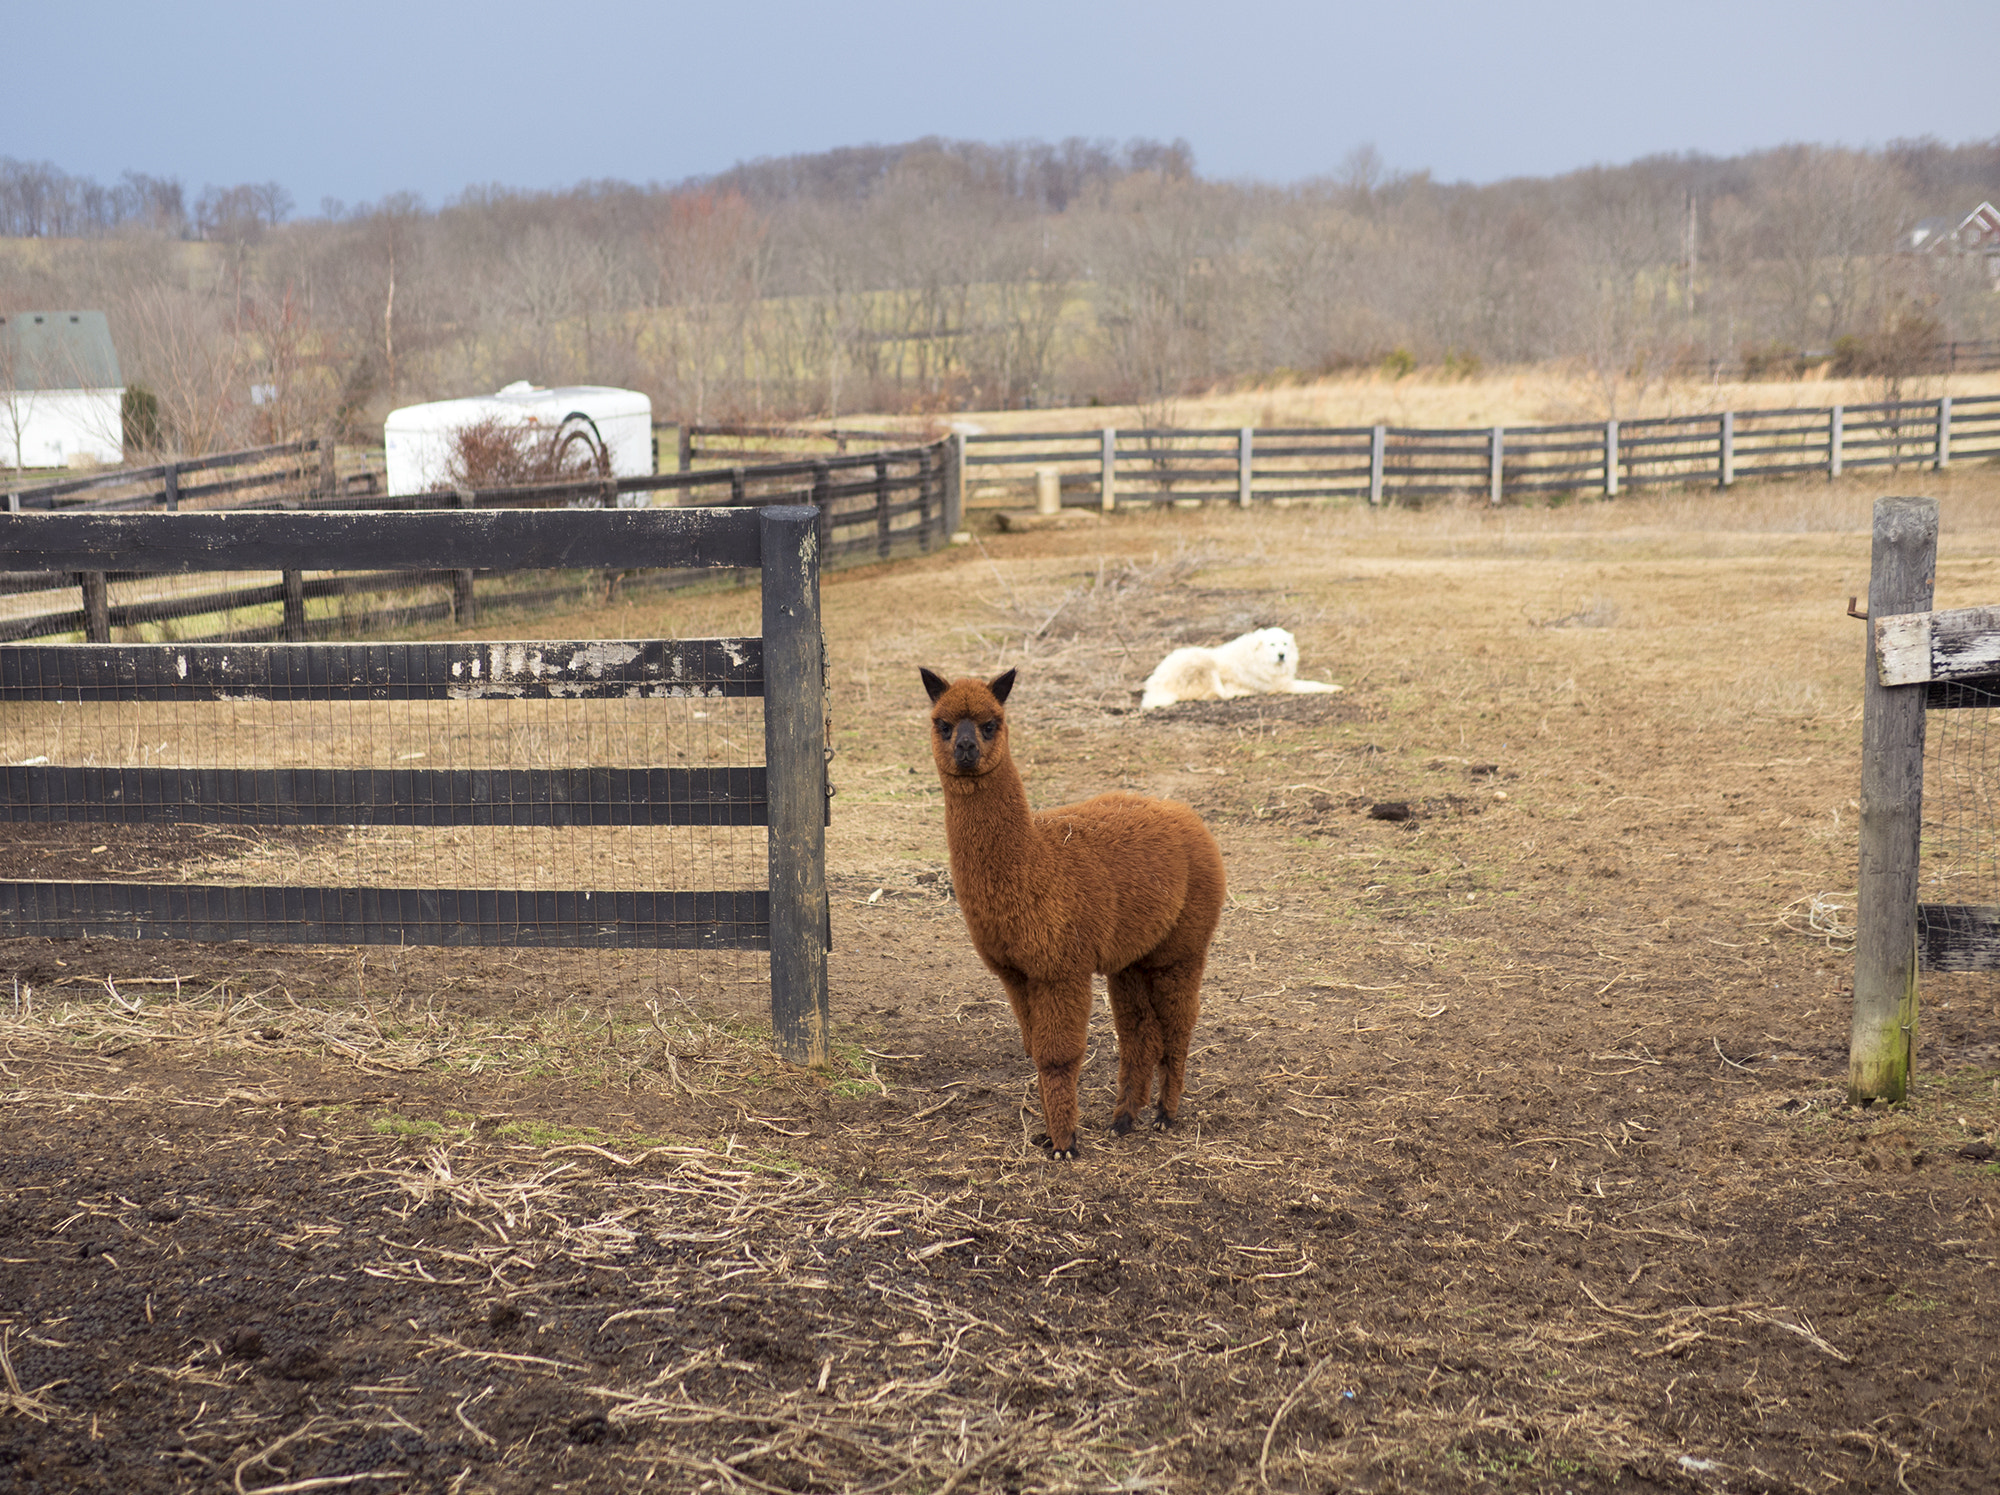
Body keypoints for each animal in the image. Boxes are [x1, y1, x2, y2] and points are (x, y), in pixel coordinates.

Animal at [1144, 623, 1344, 711]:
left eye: (1284, 644)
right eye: (1272, 645)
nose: (1282, 655)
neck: (1257, 658)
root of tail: (1156, 684)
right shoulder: (1283, 685)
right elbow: (1313, 684)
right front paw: (1335, 688)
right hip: (1203, 660)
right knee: (1215, 694)